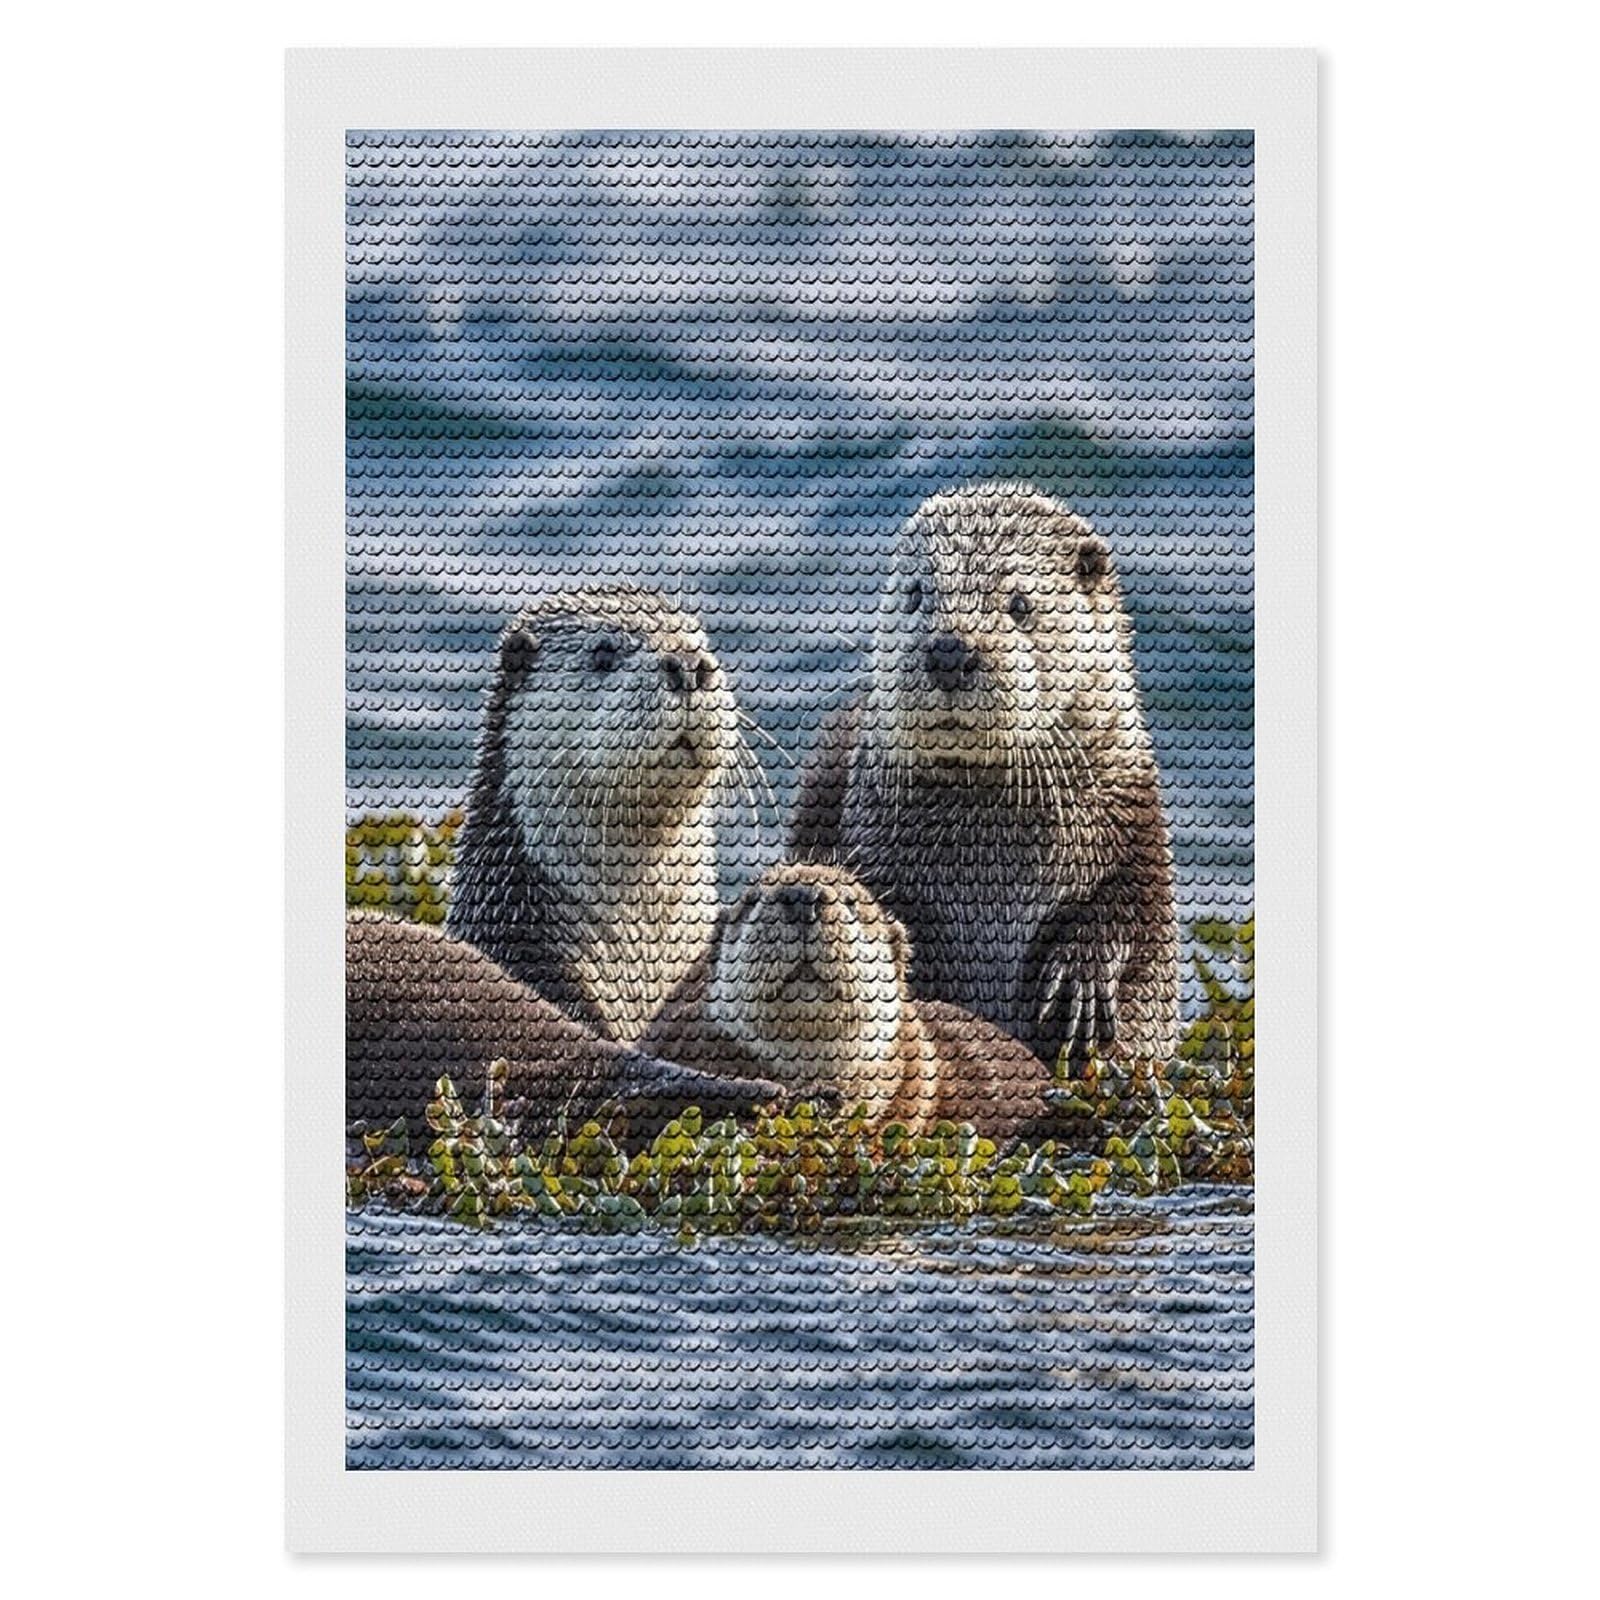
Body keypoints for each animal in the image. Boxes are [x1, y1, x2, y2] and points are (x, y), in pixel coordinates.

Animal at [789, 482, 1180, 1071]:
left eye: (1019, 604)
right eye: (916, 595)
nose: (950, 651)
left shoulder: (1135, 823)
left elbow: (1135, 915)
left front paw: (1082, 980)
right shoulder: (877, 848)